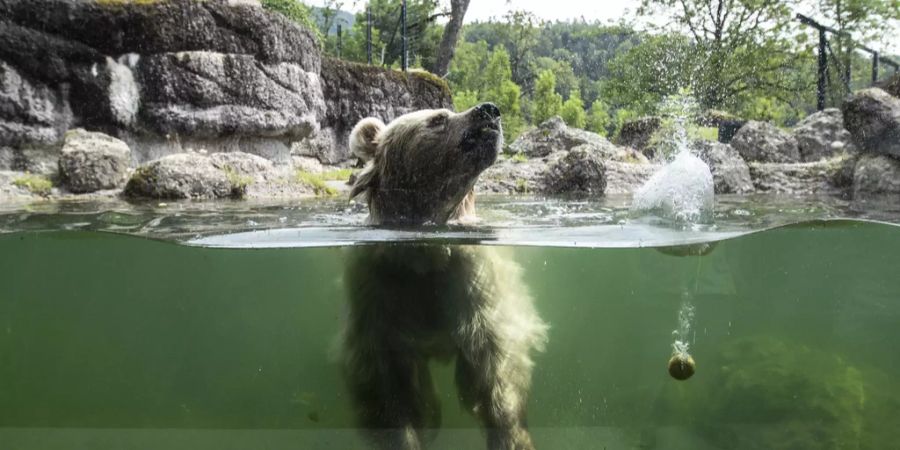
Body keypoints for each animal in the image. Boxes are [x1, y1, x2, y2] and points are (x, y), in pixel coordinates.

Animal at [340, 103, 544, 450]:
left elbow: (495, 367)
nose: (489, 110)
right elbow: (389, 388)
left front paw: (511, 436)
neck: (425, 256)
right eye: (437, 118)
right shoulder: (382, 294)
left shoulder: (473, 286)